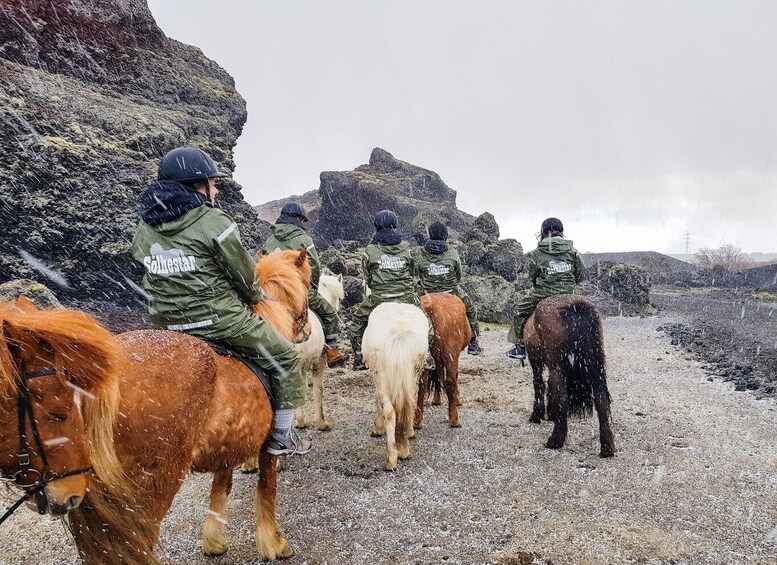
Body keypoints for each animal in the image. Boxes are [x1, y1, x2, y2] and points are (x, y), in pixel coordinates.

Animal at [66, 251, 310, 564]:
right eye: (309, 284)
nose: (308, 330)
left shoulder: (228, 447)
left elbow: (221, 488)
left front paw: (214, 541)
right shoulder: (268, 449)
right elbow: (267, 489)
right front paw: (274, 544)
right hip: (148, 490)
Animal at [360, 302, 428, 470]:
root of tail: (399, 330)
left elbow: (378, 400)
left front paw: (377, 428)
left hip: (381, 375)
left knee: (390, 410)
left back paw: (391, 459)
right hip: (412, 372)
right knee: (409, 404)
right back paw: (403, 448)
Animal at [416, 290, 470, 428]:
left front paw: (436, 399)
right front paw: (457, 399)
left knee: (422, 381)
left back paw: (417, 421)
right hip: (450, 352)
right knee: (450, 380)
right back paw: (454, 419)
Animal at [524, 294, 616, 456]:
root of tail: (576, 308)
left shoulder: (535, 361)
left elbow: (539, 385)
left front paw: (538, 415)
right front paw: (552, 413)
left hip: (556, 365)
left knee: (562, 397)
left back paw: (555, 440)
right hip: (596, 363)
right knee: (601, 399)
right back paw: (607, 447)